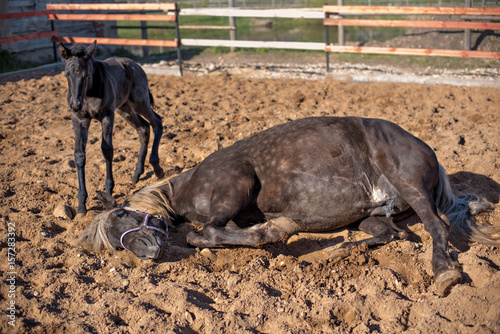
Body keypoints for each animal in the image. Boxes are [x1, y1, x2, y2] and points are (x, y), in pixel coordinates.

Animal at [58, 41, 164, 219]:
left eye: (86, 75)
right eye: (66, 75)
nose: (75, 104)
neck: (88, 94)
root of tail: (135, 64)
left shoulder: (107, 115)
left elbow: (107, 150)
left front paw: (108, 191)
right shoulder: (79, 119)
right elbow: (79, 155)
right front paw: (81, 206)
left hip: (139, 102)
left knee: (156, 122)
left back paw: (157, 168)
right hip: (124, 108)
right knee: (143, 128)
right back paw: (136, 175)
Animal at [78, 116, 496, 296]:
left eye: (122, 216)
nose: (147, 253)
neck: (188, 186)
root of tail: (429, 151)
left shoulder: (234, 184)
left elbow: (206, 234)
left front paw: (277, 229)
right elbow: (213, 234)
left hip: (412, 189)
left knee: (437, 228)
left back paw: (444, 272)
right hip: (372, 216)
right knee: (392, 234)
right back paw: (339, 251)